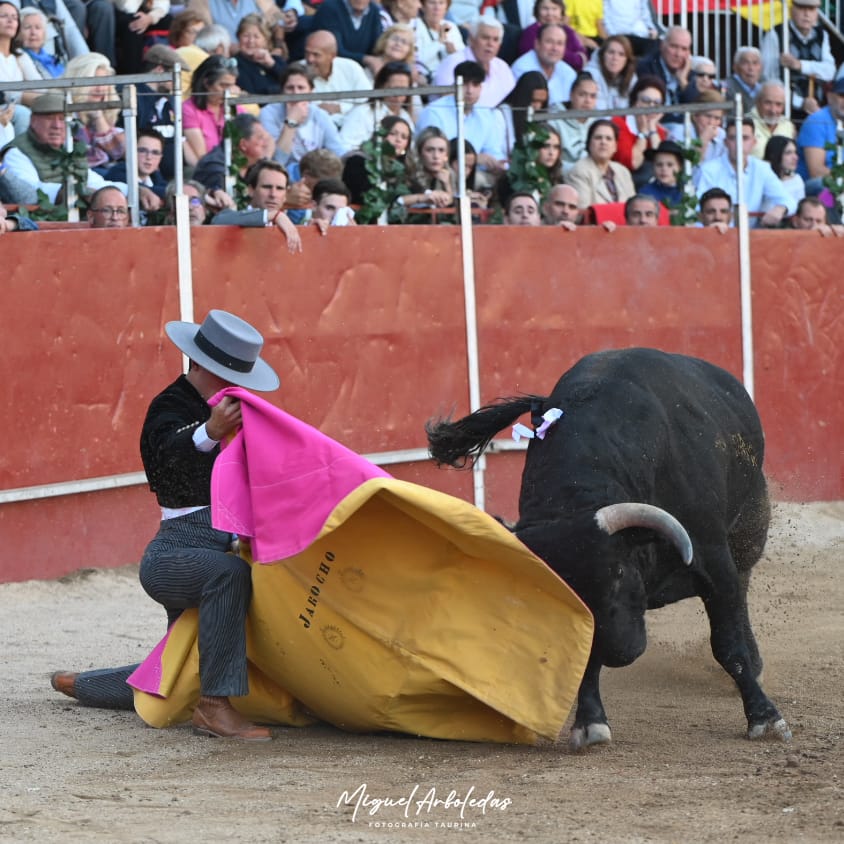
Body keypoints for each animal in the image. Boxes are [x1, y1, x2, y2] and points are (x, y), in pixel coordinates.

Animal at [428, 346, 792, 748]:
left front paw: (765, 718)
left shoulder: (712, 559)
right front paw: (591, 724)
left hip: (750, 526)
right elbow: (584, 654)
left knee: (742, 587)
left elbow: (728, 643)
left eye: (617, 572)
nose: (621, 652)